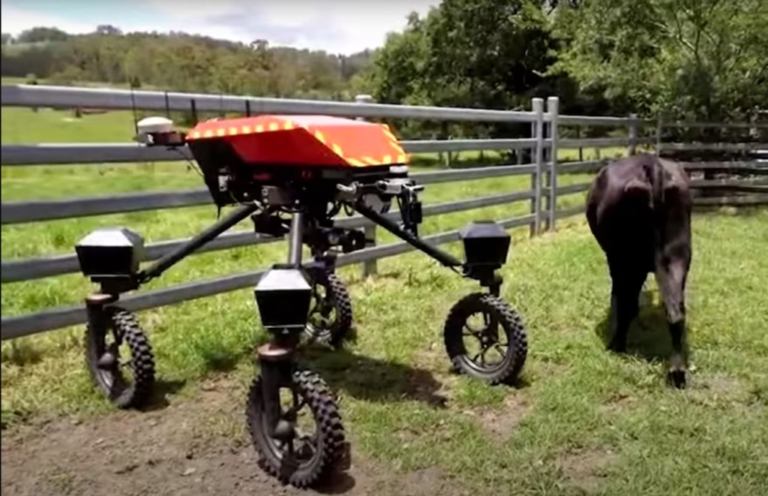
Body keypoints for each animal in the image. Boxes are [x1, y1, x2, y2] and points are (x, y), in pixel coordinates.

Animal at [584, 154, 692, 388]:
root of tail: (652, 165)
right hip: (678, 255)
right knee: (676, 312)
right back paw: (677, 372)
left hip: (624, 258)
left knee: (626, 302)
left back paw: (616, 345)